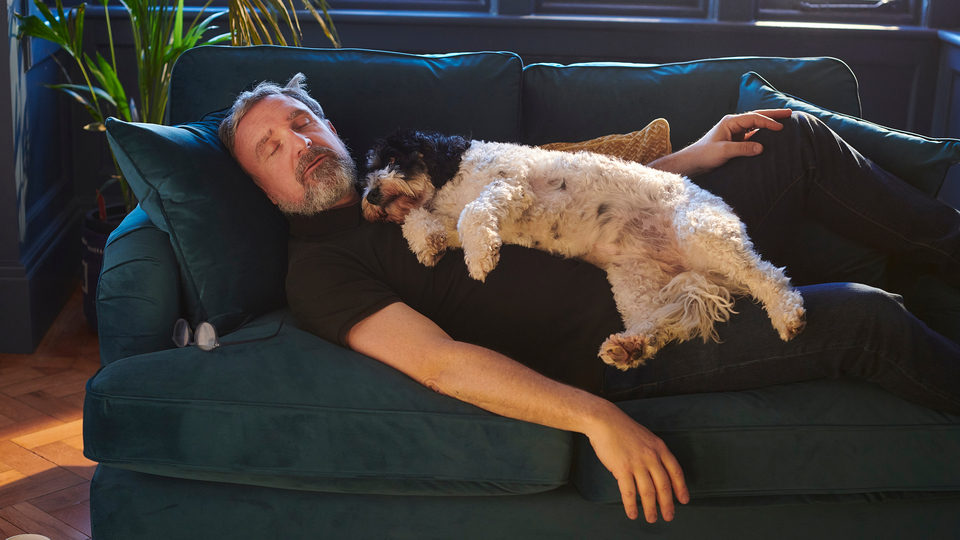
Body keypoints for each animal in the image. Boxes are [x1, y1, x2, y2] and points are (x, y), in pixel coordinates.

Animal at [360, 129, 804, 370]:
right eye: (369, 171)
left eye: (394, 158)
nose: (369, 194)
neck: (452, 174)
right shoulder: (457, 213)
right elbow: (422, 222)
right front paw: (427, 244)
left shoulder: (508, 186)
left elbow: (474, 213)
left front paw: (481, 257)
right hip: (635, 279)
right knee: (656, 325)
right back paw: (630, 346)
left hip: (702, 230)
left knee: (768, 276)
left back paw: (787, 314)